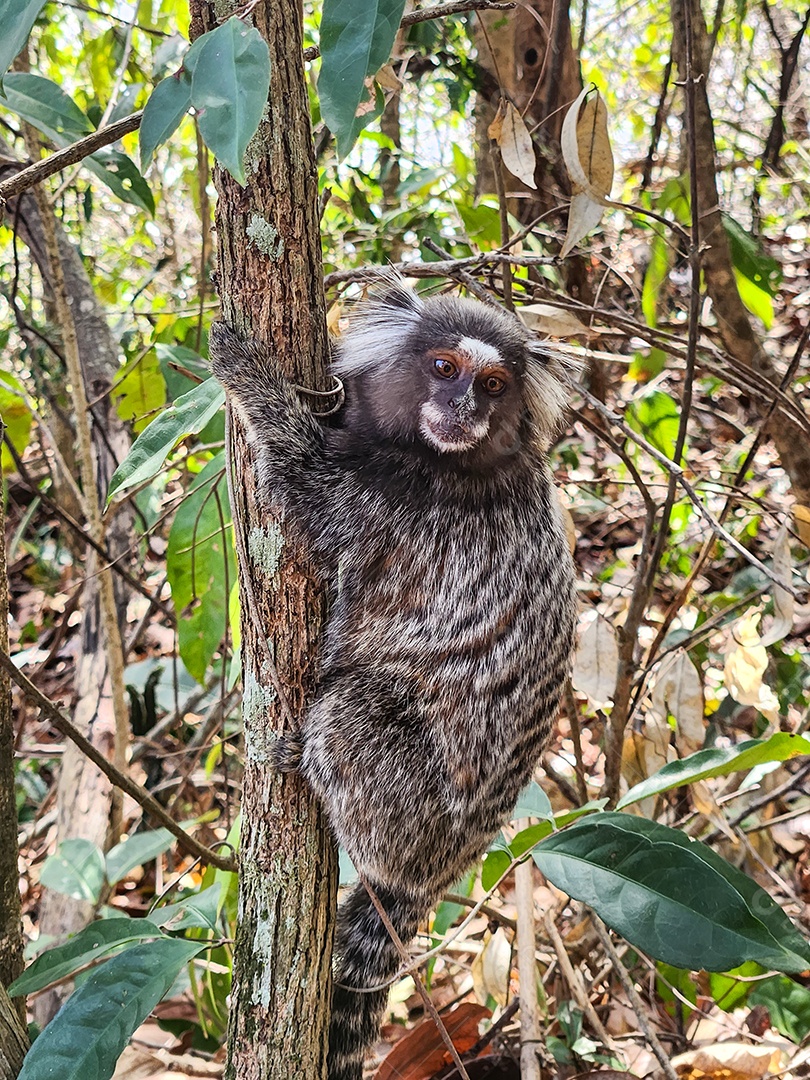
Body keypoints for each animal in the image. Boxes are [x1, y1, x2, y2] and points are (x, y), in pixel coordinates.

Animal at [209, 274, 577, 1080]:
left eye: (494, 384)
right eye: (444, 368)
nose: (465, 408)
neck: (447, 460)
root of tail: (436, 870)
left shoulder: (390, 505)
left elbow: (301, 488)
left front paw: (248, 374)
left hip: (407, 811)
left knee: (350, 713)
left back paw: (305, 760)